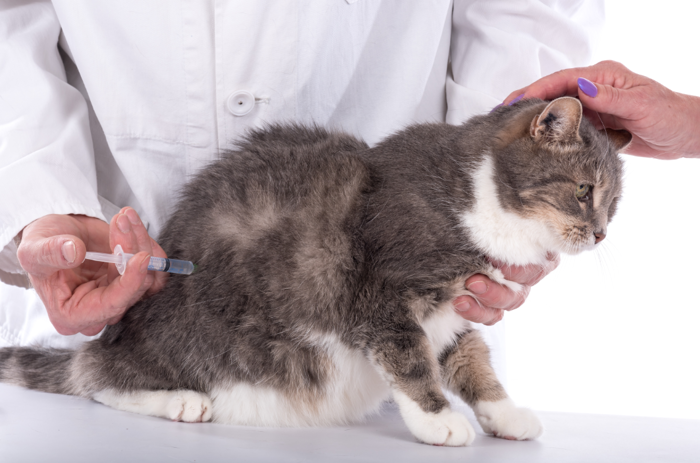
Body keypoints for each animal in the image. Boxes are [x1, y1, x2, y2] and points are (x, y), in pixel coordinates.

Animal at [0, 97, 628, 446]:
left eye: (614, 203)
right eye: (583, 191)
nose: (601, 234)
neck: (477, 197)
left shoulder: (456, 308)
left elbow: (471, 358)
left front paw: (504, 413)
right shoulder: (383, 297)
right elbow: (410, 361)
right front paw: (438, 421)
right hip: (179, 340)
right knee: (96, 378)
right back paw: (178, 400)